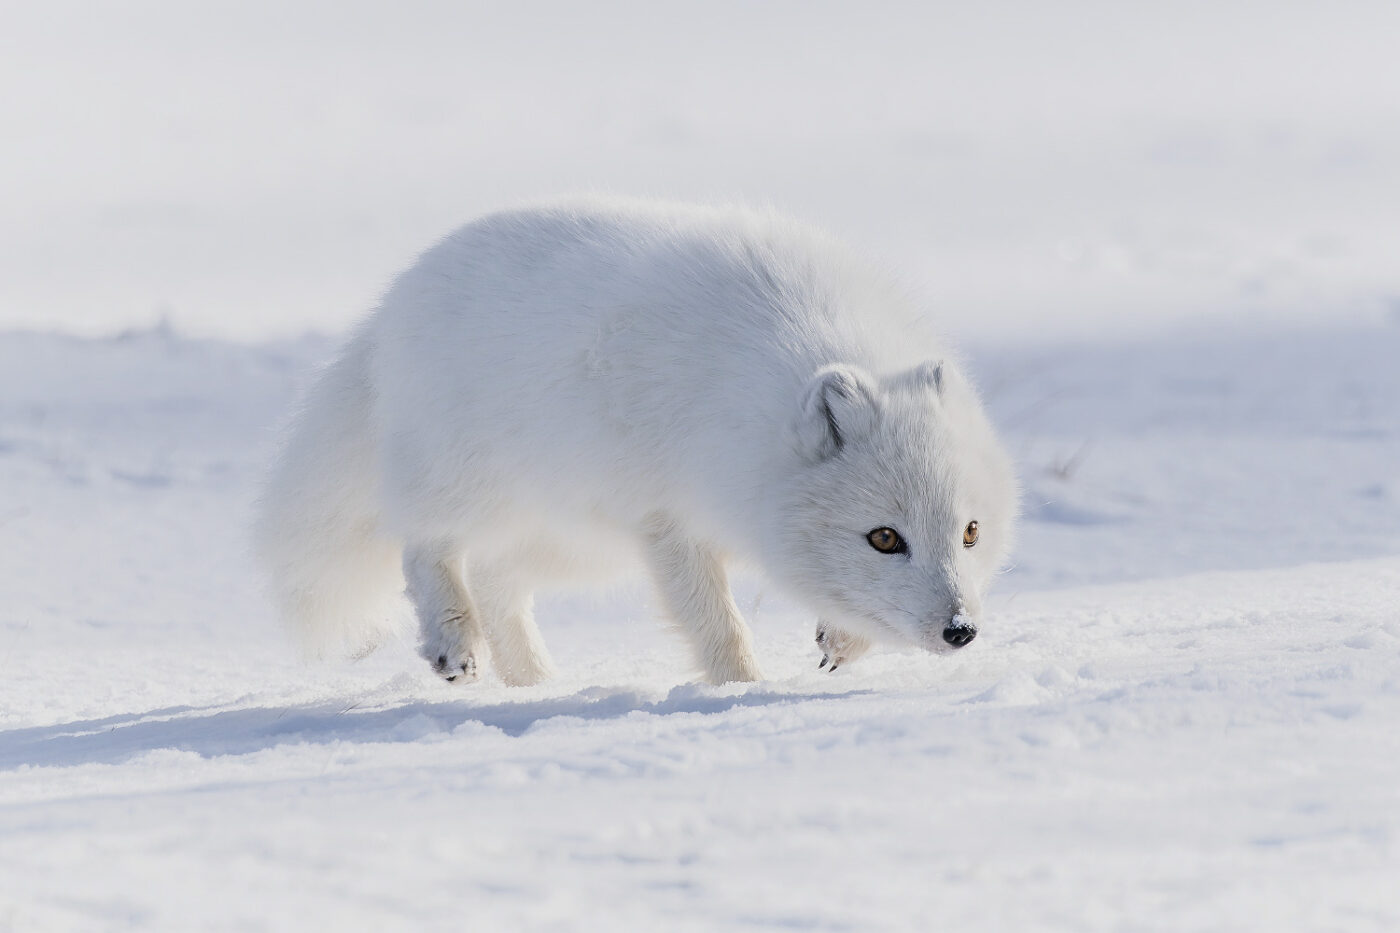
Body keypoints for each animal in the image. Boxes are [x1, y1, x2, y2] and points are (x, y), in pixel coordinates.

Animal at [253, 198, 1018, 686]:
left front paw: (841, 641)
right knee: (424, 547)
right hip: (472, 488)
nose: (960, 630)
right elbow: (718, 627)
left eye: (971, 532)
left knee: (499, 582)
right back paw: (454, 645)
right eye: (885, 537)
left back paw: (534, 682)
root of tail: (390, 305)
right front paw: (743, 692)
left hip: (574, 542)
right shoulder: (667, 522)